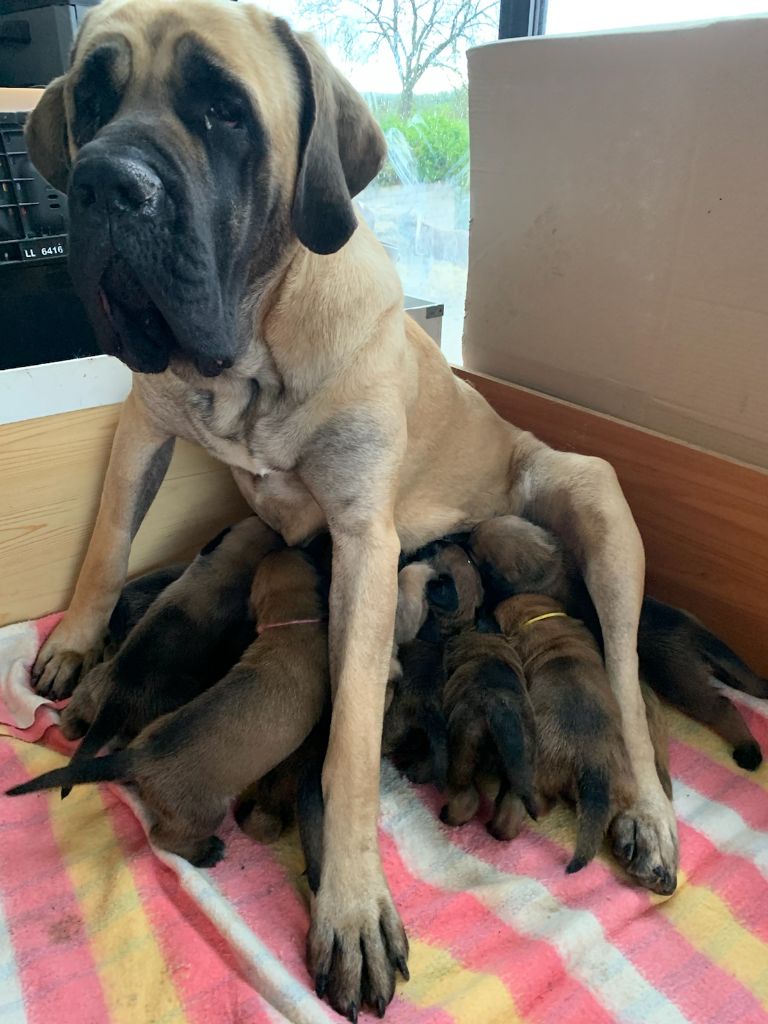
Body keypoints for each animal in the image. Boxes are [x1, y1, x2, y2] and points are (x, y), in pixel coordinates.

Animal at [7, 548, 329, 868]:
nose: (296, 546)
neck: (290, 626)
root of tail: (140, 757)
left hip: (99, 695)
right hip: (203, 813)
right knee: (163, 837)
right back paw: (206, 852)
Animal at [473, 516, 765, 770]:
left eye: (479, 558)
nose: (467, 533)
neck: (549, 565)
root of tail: (691, 629)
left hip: (681, 683)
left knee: (723, 707)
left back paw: (747, 749)